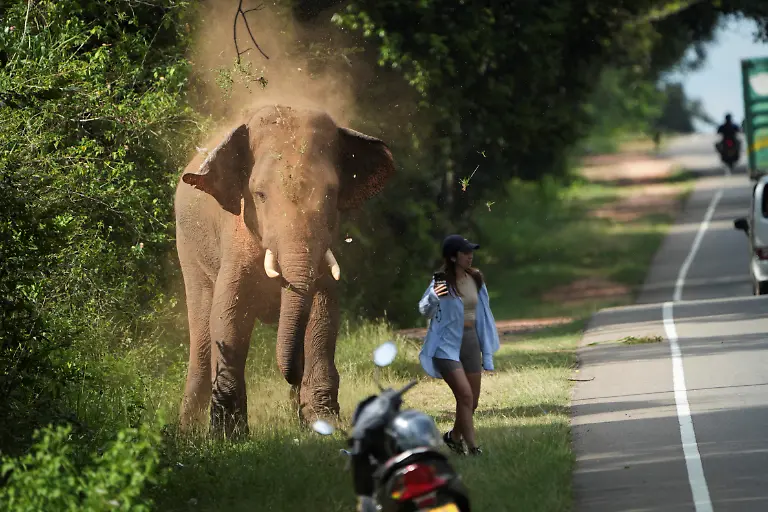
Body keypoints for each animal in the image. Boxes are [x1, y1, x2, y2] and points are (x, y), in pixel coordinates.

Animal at [174, 104, 396, 437]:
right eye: (260, 194)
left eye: (331, 193)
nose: (293, 375)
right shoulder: (236, 235)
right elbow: (228, 313)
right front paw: (227, 436)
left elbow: (323, 312)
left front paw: (323, 424)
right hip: (188, 249)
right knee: (200, 327)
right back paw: (186, 430)